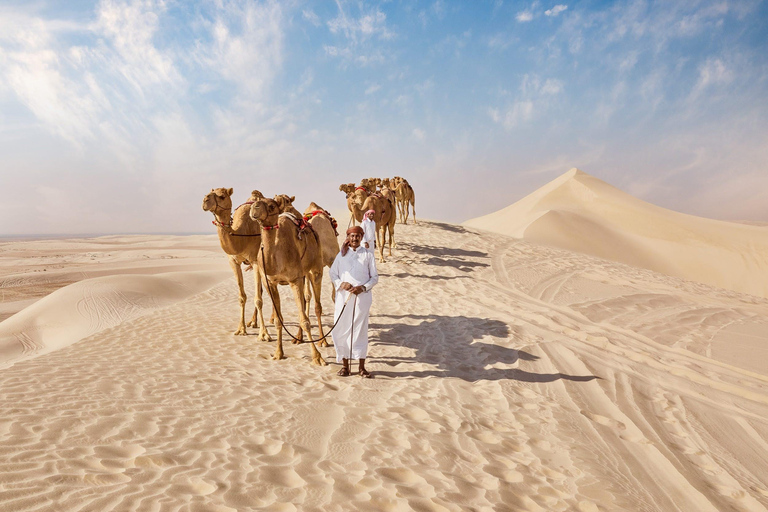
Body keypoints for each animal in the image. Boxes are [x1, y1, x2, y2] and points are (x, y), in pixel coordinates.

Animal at [202, 188, 272, 340]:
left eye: (222, 196)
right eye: (210, 192)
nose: (205, 200)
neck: (242, 234)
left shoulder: (256, 261)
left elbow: (258, 299)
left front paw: (264, 334)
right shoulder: (233, 262)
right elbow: (242, 297)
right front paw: (241, 329)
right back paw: (253, 322)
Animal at [249, 197, 328, 364]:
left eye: (271, 205)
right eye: (258, 201)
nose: (255, 207)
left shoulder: (294, 279)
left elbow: (305, 321)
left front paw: (317, 357)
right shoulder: (270, 283)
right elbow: (278, 320)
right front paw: (278, 353)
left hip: (315, 269)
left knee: (317, 306)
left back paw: (323, 341)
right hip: (304, 274)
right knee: (304, 302)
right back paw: (297, 338)